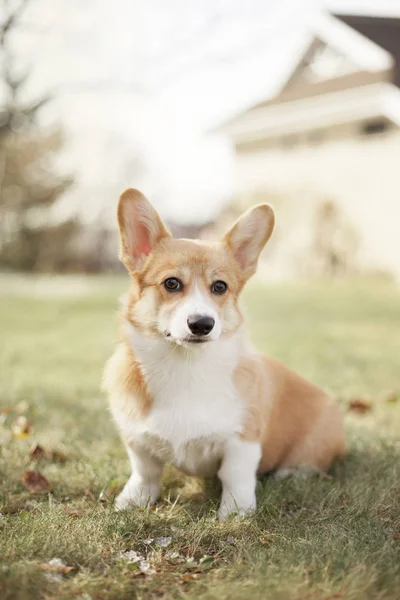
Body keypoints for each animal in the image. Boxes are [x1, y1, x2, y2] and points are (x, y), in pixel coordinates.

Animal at [104, 189, 346, 520]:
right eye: (171, 283)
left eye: (219, 287)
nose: (202, 324)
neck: (184, 366)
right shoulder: (136, 437)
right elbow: (145, 471)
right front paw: (132, 501)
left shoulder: (242, 439)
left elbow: (235, 475)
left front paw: (235, 512)